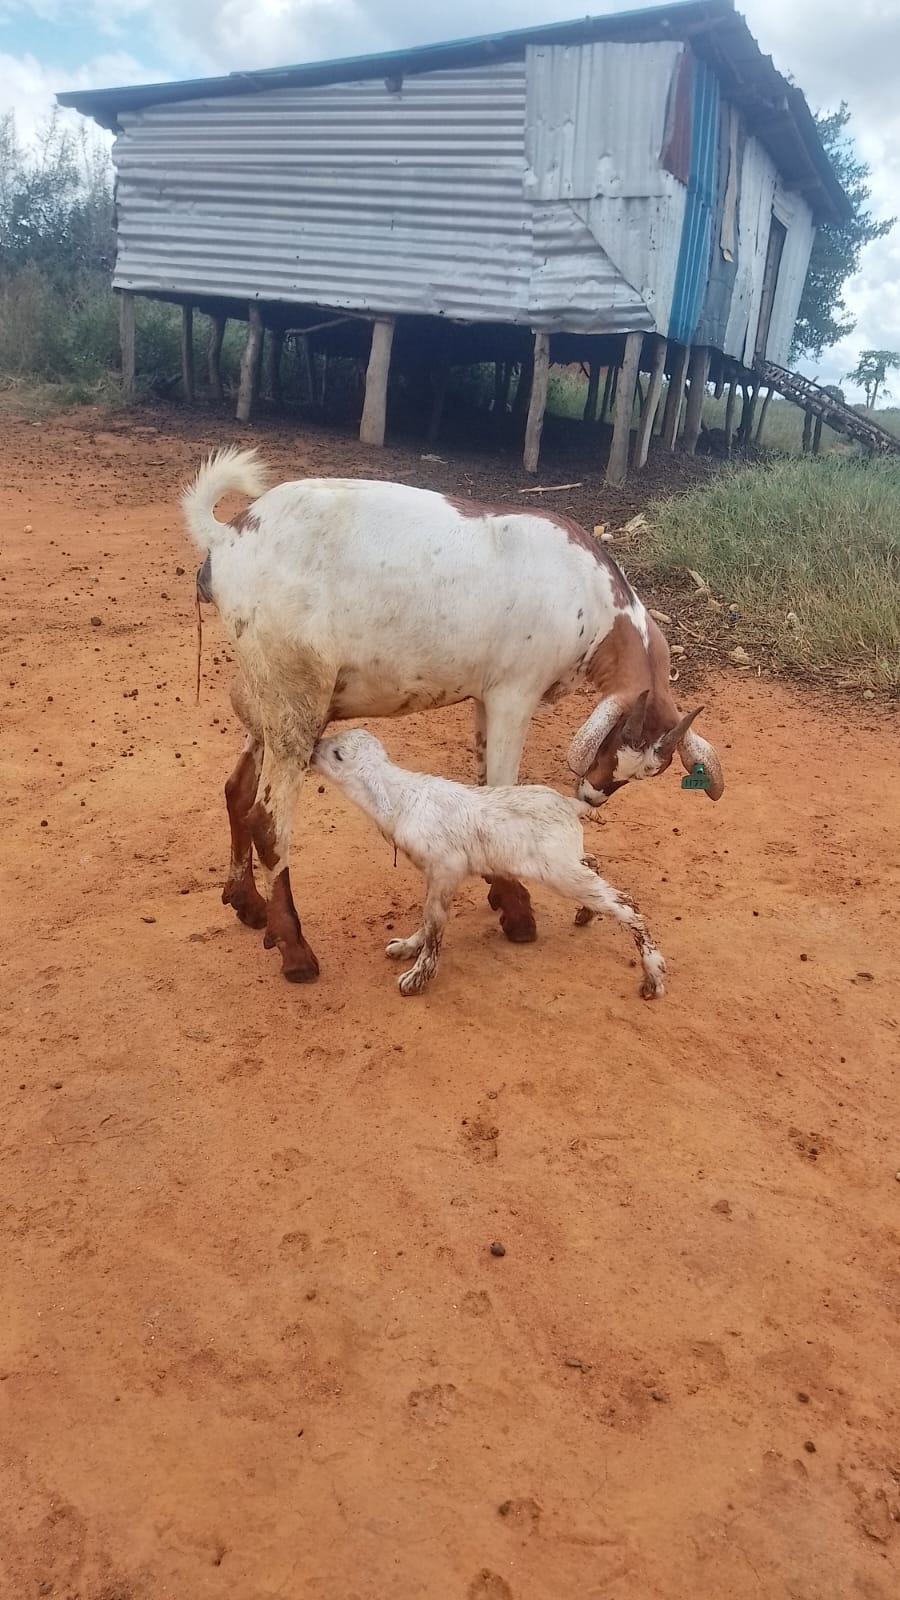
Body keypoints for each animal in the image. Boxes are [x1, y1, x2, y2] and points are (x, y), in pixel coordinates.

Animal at [312, 730, 666, 999]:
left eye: (335, 753)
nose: (312, 747)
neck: (400, 799)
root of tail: (569, 804)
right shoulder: (435, 875)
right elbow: (427, 920)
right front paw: (408, 947)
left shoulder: (446, 868)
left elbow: (434, 921)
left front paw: (417, 976)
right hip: (566, 861)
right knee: (593, 863)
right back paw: (586, 914)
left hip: (559, 872)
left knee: (627, 906)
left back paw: (653, 975)